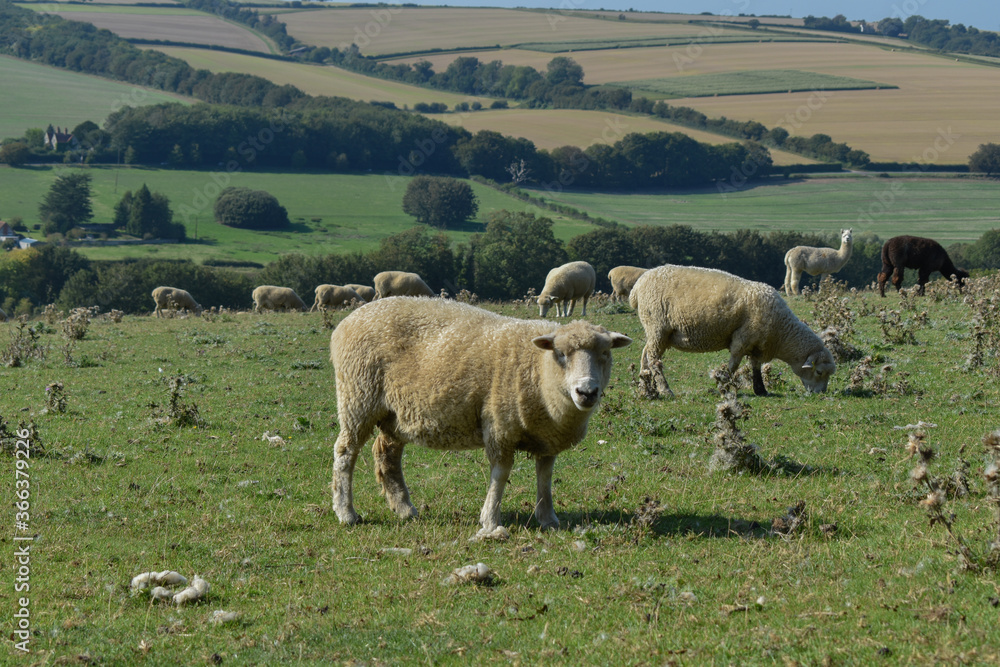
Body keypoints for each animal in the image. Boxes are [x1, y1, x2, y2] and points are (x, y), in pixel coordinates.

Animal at [328, 297, 631, 539]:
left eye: (605, 353)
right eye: (561, 353)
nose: (587, 392)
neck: (538, 369)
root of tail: (346, 322)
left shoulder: (547, 437)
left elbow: (545, 477)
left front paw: (548, 518)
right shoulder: (499, 426)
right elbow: (500, 474)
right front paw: (490, 520)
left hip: (396, 414)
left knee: (387, 454)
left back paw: (404, 508)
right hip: (358, 398)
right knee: (345, 453)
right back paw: (346, 513)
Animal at [629, 265, 836, 397]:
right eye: (819, 372)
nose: (820, 394)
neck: (781, 332)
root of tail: (637, 287)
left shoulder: (757, 344)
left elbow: (755, 366)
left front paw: (760, 390)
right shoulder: (742, 339)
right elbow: (734, 366)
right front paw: (724, 387)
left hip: (657, 332)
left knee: (645, 356)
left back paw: (645, 389)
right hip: (657, 326)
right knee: (654, 360)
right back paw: (665, 390)